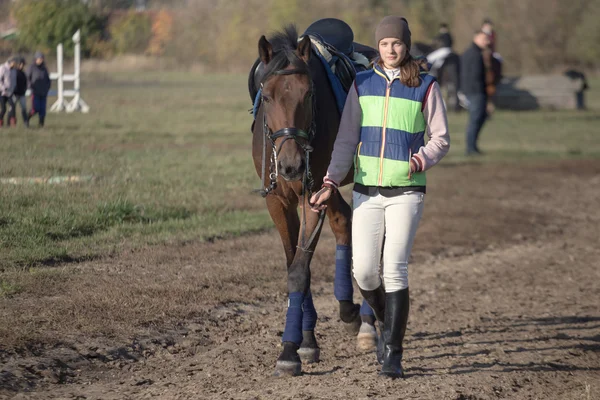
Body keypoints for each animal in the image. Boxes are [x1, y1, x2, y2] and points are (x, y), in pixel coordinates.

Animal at [250, 26, 366, 376]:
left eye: (309, 94)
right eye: (268, 96)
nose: (291, 166)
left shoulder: (312, 196)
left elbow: (300, 270)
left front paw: (290, 349)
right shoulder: (278, 201)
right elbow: (295, 265)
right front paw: (305, 339)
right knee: (343, 220)